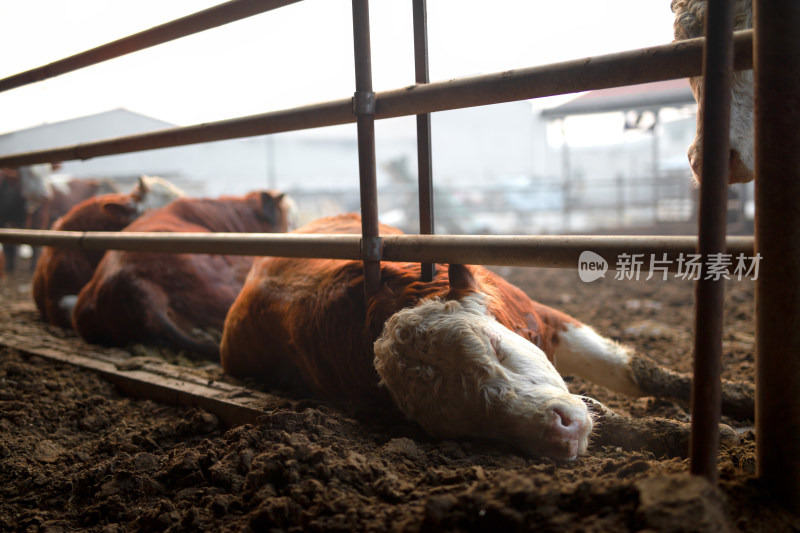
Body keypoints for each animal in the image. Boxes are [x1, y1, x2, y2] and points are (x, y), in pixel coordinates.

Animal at [222, 214, 752, 460]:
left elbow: (635, 370)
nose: (561, 431)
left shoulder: (546, 316)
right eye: (468, 423)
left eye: (496, 347)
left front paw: (735, 401)